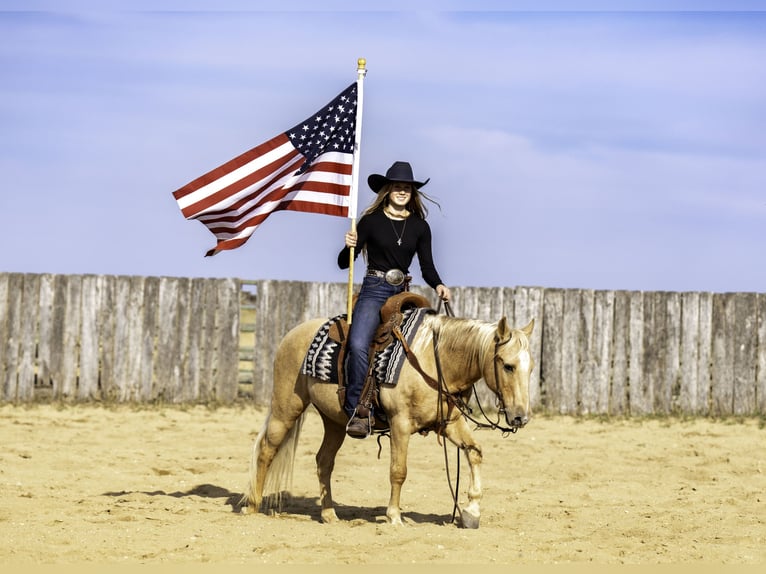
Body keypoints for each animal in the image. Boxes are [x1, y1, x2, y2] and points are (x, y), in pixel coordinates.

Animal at [243, 310, 536, 532]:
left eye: (530, 368)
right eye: (508, 365)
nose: (520, 417)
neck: (434, 360)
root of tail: (293, 333)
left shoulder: (451, 423)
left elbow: (474, 452)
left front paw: (472, 511)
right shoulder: (400, 424)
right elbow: (398, 471)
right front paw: (394, 515)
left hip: (334, 421)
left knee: (324, 461)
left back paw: (329, 514)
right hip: (286, 406)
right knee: (267, 449)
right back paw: (252, 505)